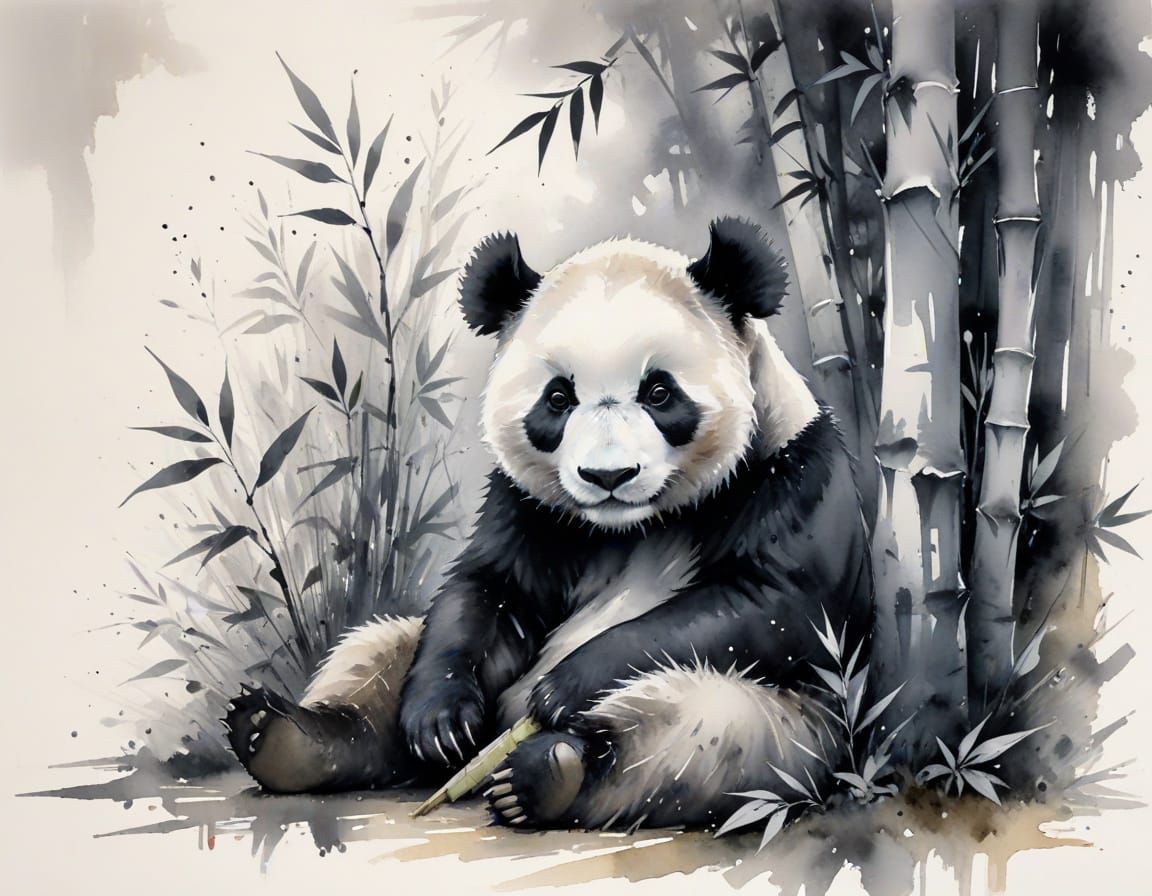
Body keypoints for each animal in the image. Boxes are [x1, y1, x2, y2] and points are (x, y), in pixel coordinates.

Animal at [226, 217, 873, 830]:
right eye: (558, 399)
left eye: (660, 392)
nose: (608, 475)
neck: (637, 523)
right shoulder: (530, 507)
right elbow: (490, 589)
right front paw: (440, 719)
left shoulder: (793, 474)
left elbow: (772, 602)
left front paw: (566, 686)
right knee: (378, 651)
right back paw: (284, 736)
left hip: (804, 720)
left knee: (704, 726)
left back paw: (549, 770)